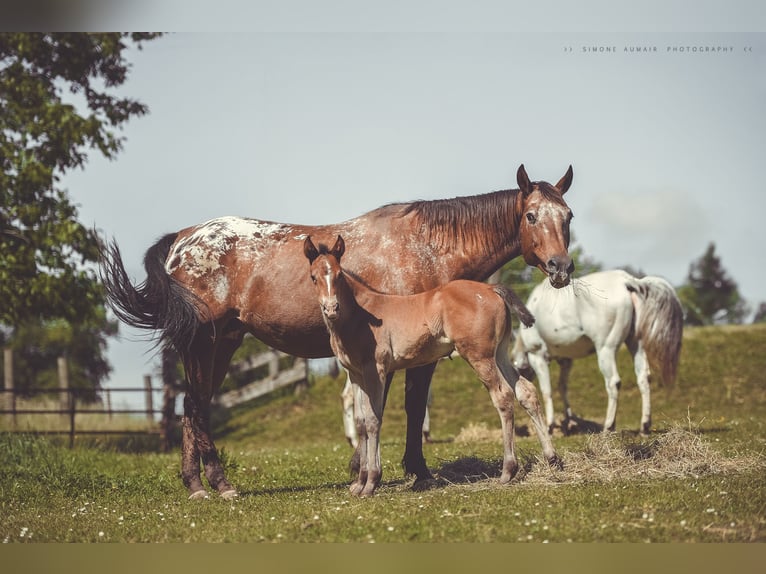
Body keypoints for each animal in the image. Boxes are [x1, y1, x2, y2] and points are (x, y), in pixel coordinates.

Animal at [306, 236, 564, 498]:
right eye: (313, 277)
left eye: (339, 275)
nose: (331, 308)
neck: (360, 315)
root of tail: (490, 288)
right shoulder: (355, 373)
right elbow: (360, 422)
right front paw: (359, 483)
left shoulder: (375, 370)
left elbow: (373, 420)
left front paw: (371, 482)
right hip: (499, 353)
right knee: (526, 391)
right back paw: (552, 459)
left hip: (479, 356)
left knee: (503, 396)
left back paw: (508, 470)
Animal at [516, 270, 684, 436]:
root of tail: (627, 280)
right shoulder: (566, 360)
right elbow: (563, 387)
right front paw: (568, 422)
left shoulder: (538, 356)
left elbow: (547, 391)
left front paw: (550, 426)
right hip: (636, 343)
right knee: (643, 377)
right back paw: (645, 426)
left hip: (605, 349)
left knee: (613, 382)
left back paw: (608, 426)